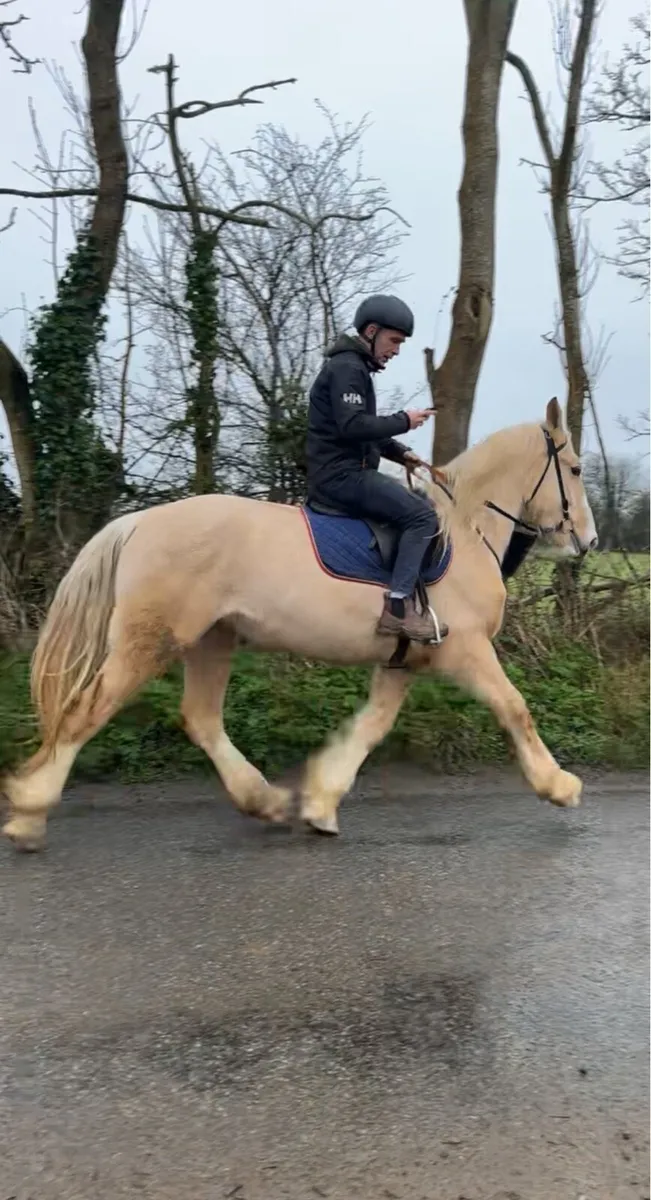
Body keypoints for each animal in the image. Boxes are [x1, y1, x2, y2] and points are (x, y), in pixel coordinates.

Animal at [2, 398, 598, 852]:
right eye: (574, 469)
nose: (588, 542)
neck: (466, 532)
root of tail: (140, 521)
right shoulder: (467, 650)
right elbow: (515, 708)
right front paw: (558, 785)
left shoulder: (404, 661)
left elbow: (372, 727)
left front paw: (320, 803)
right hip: (148, 643)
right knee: (85, 712)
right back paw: (28, 813)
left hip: (212, 641)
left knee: (201, 718)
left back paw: (264, 801)